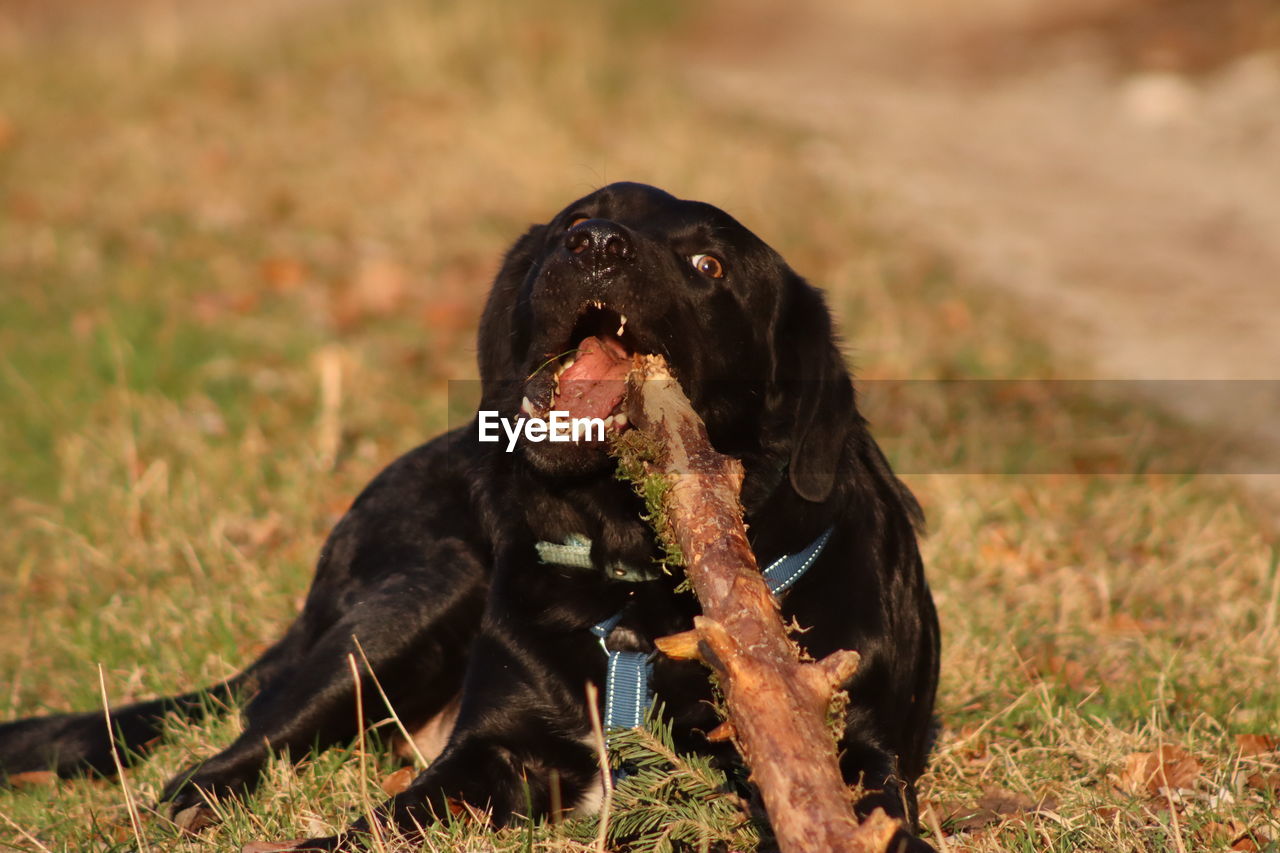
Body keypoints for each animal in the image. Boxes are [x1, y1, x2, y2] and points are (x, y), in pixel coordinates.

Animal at [0, 180, 942, 845]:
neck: (633, 590)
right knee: (238, 739)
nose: (595, 245)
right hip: (422, 594)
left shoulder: (855, 750)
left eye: (710, 267)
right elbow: (384, 822)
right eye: (578, 219)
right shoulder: (494, 748)